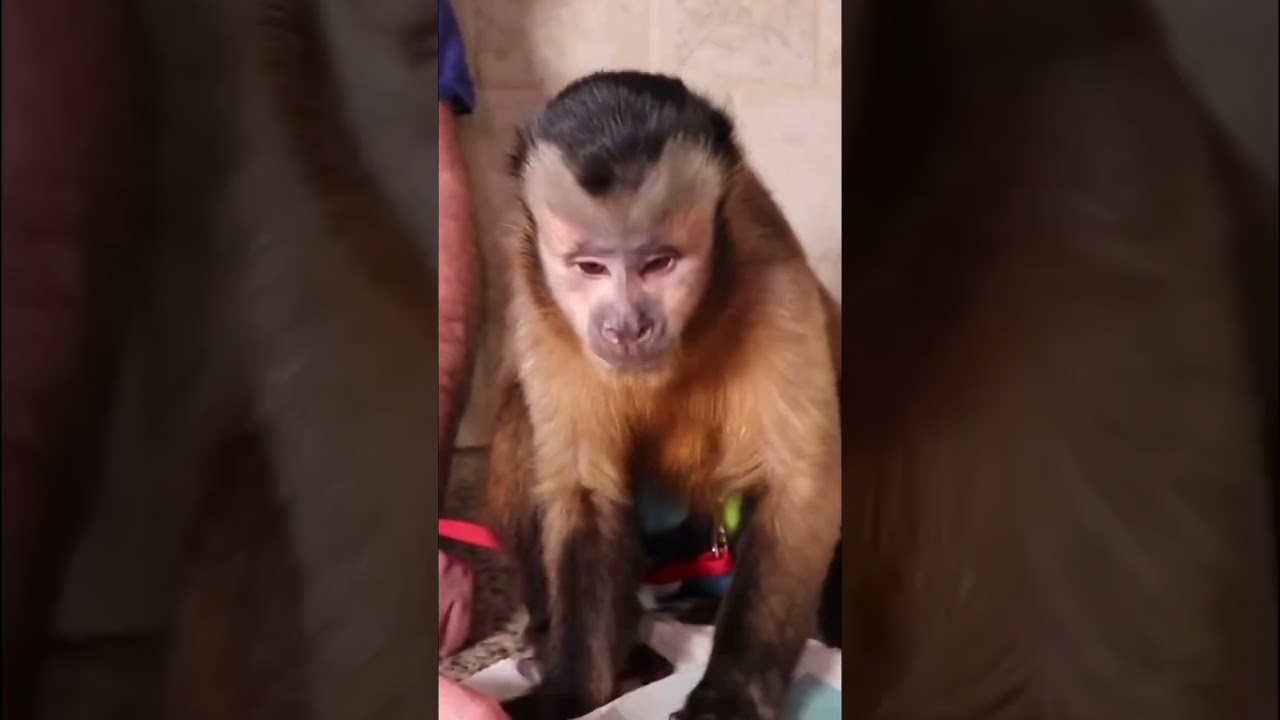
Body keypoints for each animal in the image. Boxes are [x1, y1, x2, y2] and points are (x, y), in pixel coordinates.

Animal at [482, 70, 844, 720]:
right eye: (591, 267)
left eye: (659, 263)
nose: (627, 326)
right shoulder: (535, 304)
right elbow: (586, 493)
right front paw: (575, 688)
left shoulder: (771, 275)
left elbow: (796, 487)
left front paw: (731, 695)